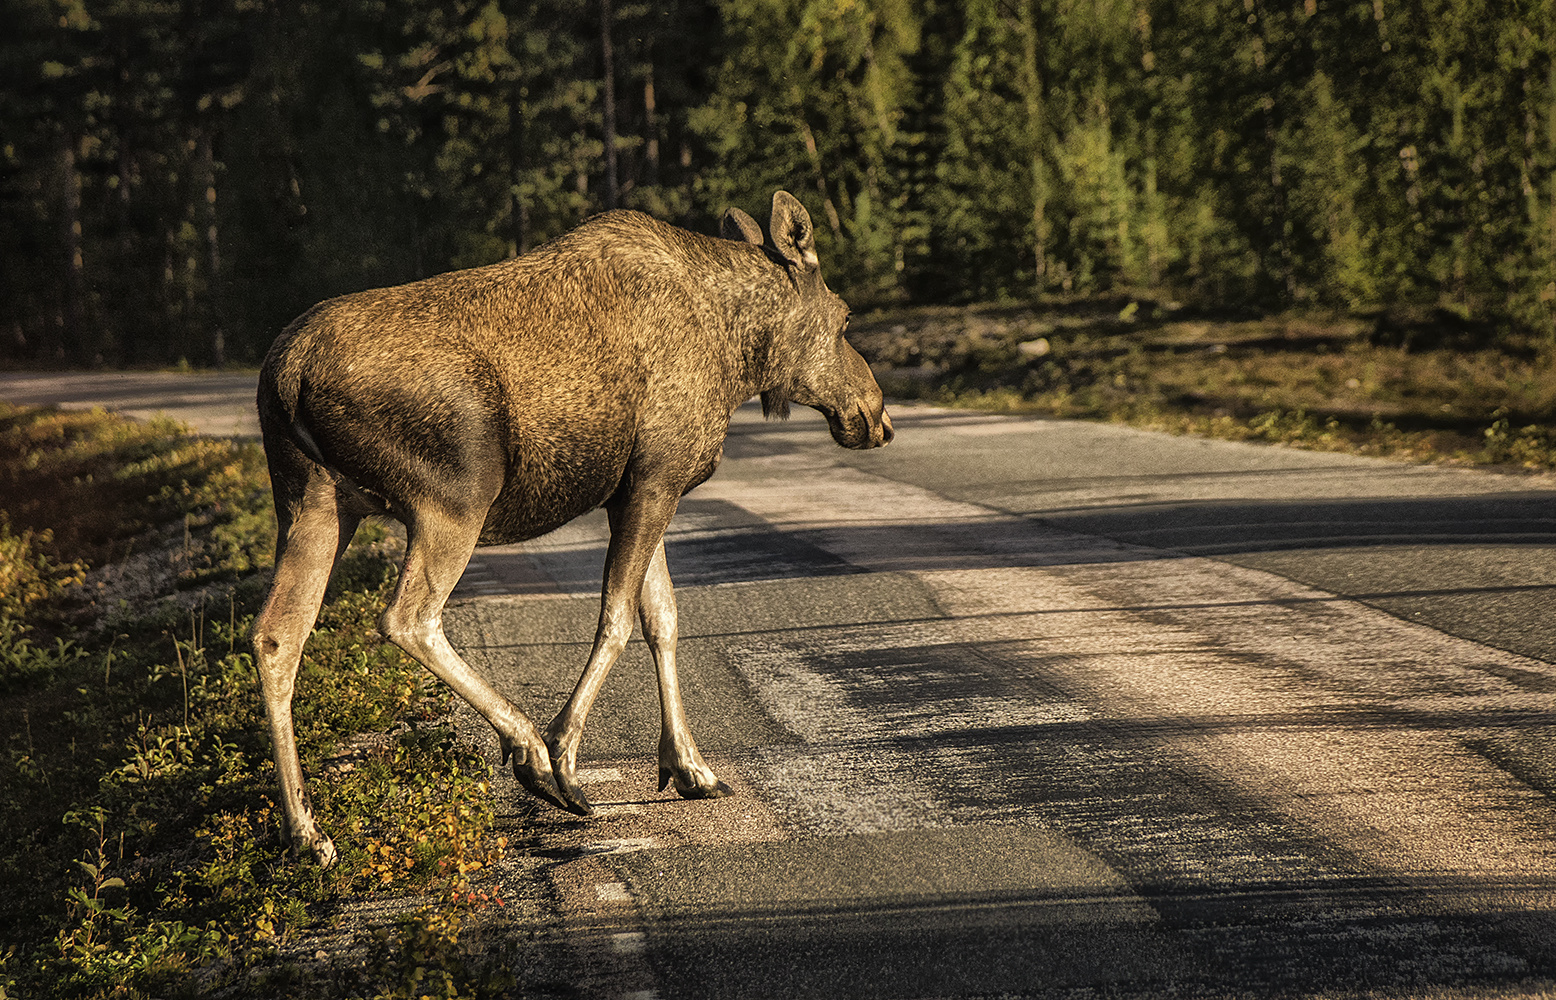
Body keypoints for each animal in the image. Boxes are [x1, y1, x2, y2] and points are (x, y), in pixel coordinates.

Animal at [252, 192, 890, 864]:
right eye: (845, 318)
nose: (876, 414)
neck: (740, 357)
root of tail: (286, 373)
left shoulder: (640, 489)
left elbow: (662, 618)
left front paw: (691, 767)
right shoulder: (655, 479)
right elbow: (617, 619)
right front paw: (565, 754)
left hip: (314, 501)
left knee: (277, 636)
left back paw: (306, 833)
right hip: (456, 493)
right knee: (407, 616)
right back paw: (529, 748)